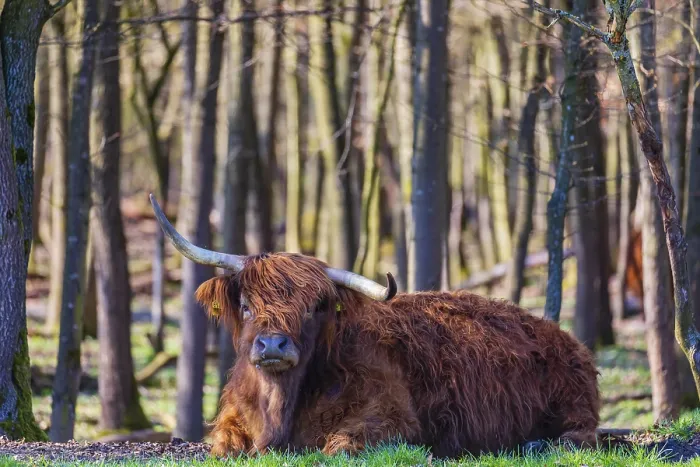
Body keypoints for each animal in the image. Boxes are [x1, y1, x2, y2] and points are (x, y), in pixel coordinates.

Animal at [149, 195, 600, 458]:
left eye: (315, 307)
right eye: (245, 305)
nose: (273, 346)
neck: (281, 409)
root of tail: (565, 338)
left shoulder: (392, 418)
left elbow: (339, 447)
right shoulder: (231, 419)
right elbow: (223, 445)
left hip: (575, 407)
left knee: (583, 434)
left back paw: (538, 442)